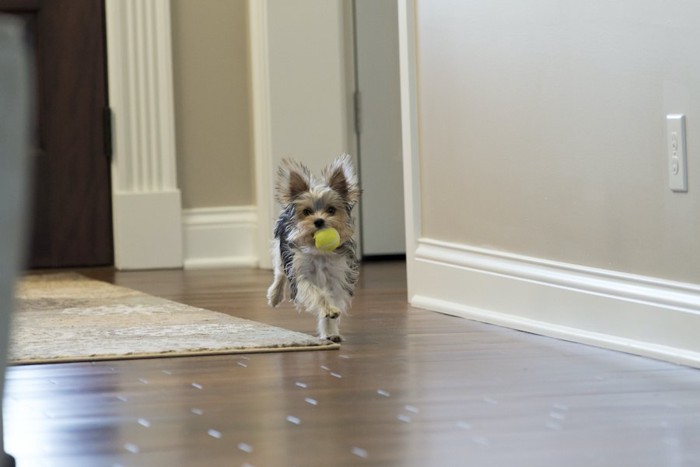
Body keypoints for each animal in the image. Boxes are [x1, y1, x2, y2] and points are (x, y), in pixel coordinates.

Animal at [266, 155, 360, 342]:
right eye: (307, 212)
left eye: (331, 210)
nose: (319, 221)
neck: (319, 253)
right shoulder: (302, 275)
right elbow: (318, 295)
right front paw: (328, 310)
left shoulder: (336, 277)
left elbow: (331, 300)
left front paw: (330, 330)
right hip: (281, 252)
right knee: (279, 273)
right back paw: (274, 296)